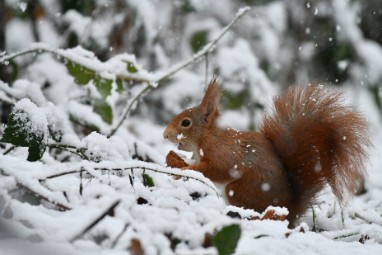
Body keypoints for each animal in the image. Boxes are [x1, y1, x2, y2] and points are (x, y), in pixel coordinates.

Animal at [163, 77, 370, 225]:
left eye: (186, 123)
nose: (165, 135)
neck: (207, 137)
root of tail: (290, 210)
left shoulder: (223, 152)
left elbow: (218, 169)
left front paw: (185, 170)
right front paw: (175, 161)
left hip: (239, 191)